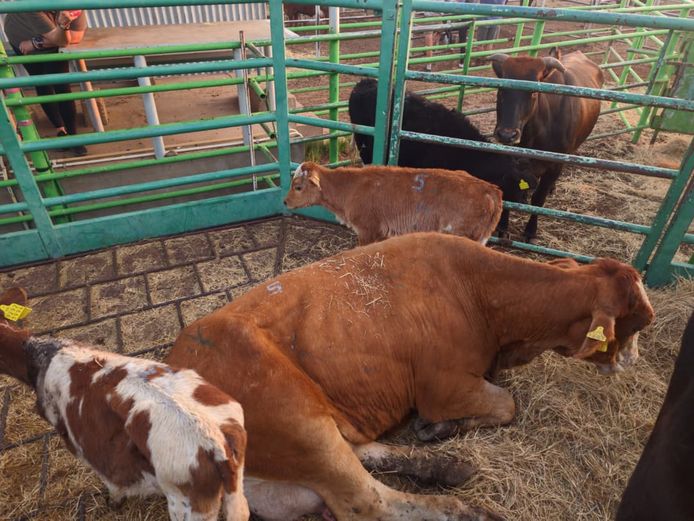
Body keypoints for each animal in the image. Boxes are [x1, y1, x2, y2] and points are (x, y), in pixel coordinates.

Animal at [0, 288, 249, 521]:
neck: (42, 356)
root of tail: (216, 443)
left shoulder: (74, 438)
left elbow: (109, 477)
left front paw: (114, 500)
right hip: (235, 494)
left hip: (187, 507)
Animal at [165, 232, 654, 521]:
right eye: (639, 321)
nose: (632, 362)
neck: (483, 294)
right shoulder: (445, 388)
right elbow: (508, 404)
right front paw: (441, 426)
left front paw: (437, 434)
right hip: (295, 417)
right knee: (368, 502)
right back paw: (467, 510)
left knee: (362, 454)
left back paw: (449, 466)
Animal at [490, 47, 604, 242]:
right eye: (501, 89)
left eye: (533, 92)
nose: (507, 134)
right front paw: (502, 227)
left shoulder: (554, 166)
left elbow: (538, 200)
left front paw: (530, 231)